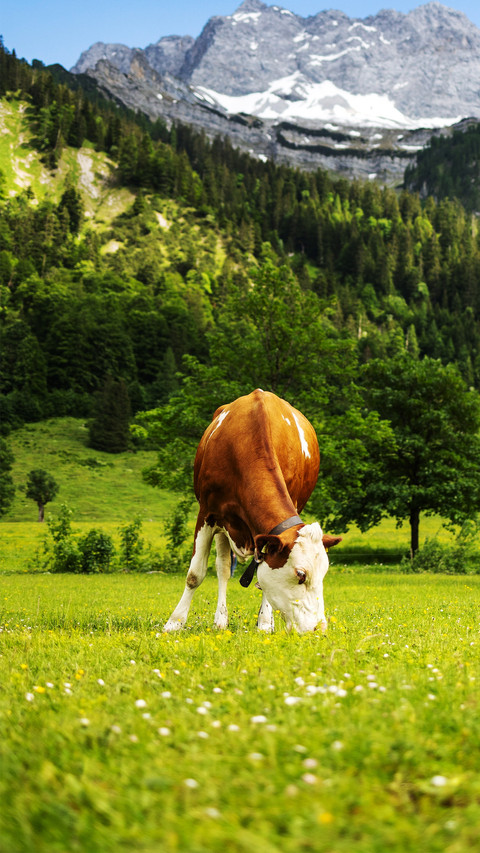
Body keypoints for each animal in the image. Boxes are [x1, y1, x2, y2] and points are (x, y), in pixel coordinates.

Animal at [164, 389, 342, 634]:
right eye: (300, 574)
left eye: (324, 573)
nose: (319, 628)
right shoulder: (207, 514)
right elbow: (195, 574)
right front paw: (174, 622)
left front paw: (265, 622)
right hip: (223, 528)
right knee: (223, 568)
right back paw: (220, 620)